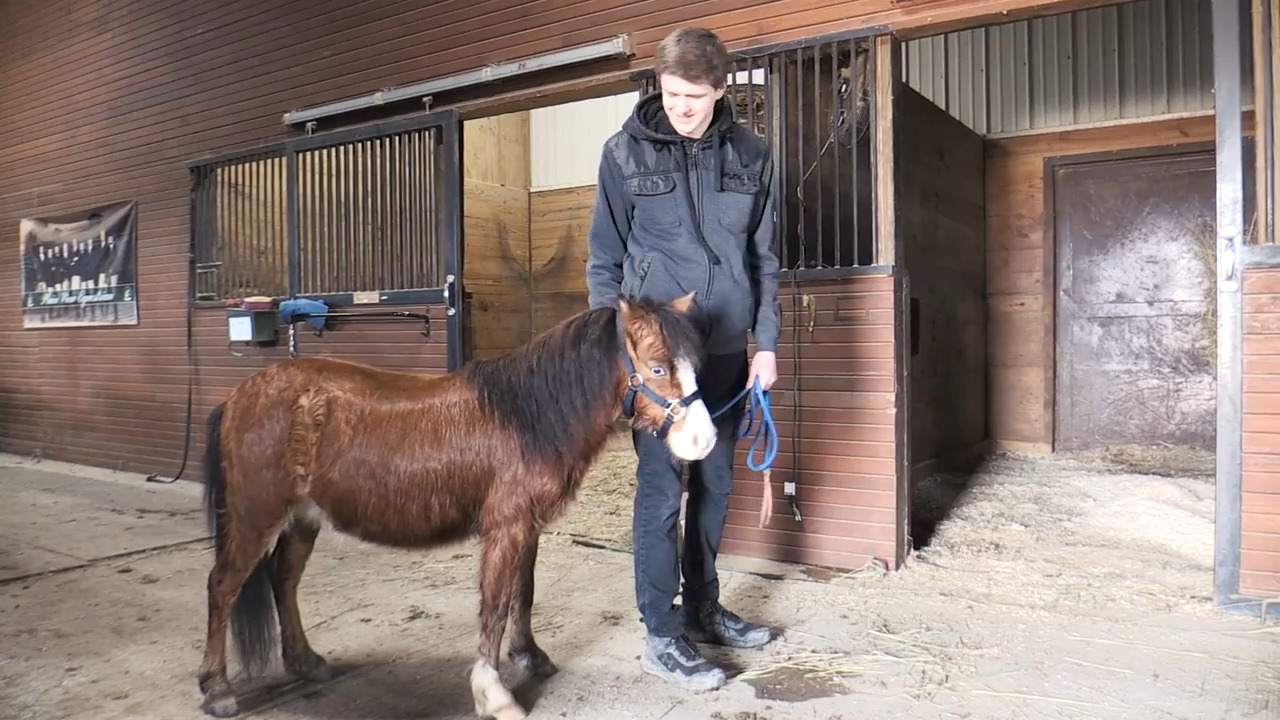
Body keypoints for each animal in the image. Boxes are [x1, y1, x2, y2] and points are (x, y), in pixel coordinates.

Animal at [195, 292, 715, 720]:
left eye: (694, 365)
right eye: (658, 368)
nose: (704, 440)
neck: (527, 417)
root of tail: (237, 397)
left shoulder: (527, 526)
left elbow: (522, 594)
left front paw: (530, 656)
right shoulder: (506, 528)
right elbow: (494, 605)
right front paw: (494, 694)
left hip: (302, 518)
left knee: (284, 580)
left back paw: (305, 662)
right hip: (255, 515)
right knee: (223, 586)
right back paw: (218, 690)